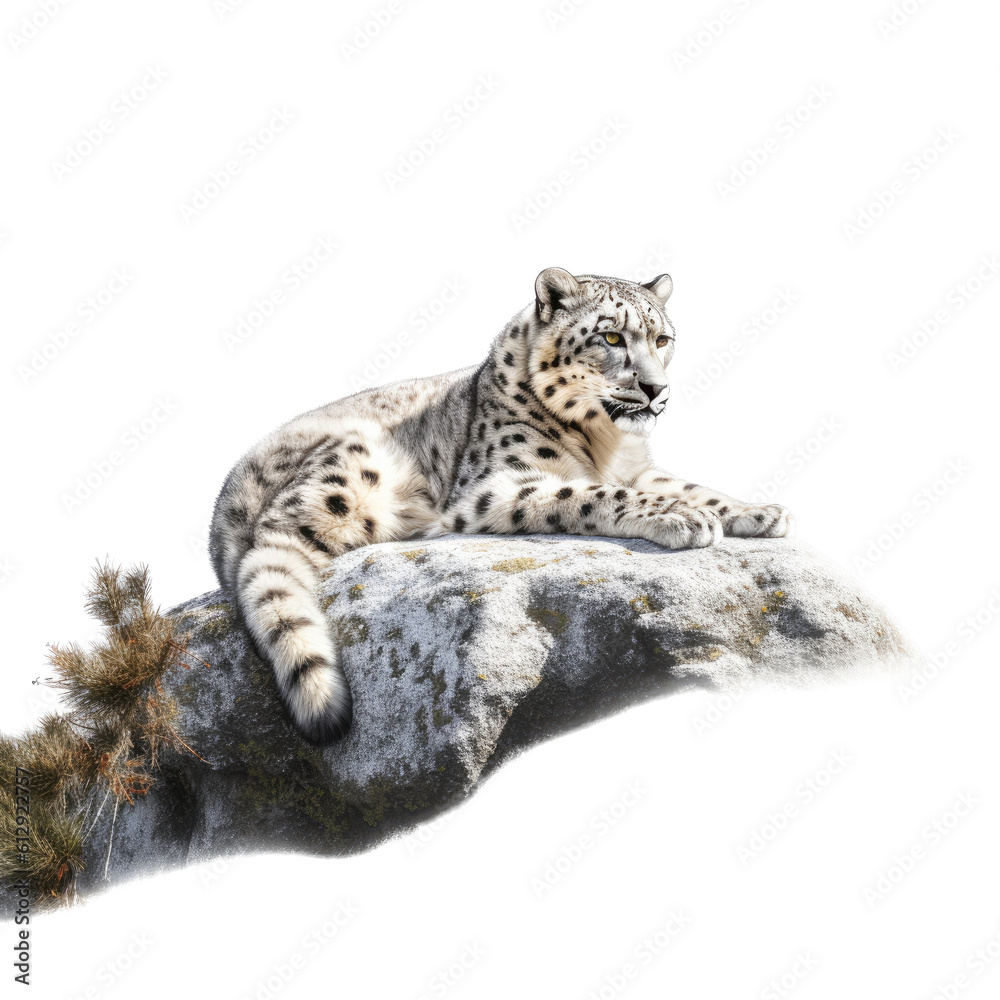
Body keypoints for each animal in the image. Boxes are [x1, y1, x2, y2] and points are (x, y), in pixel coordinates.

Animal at [209, 267, 793, 742]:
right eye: (611, 336)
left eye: (663, 338)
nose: (656, 390)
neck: (606, 443)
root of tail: (224, 516)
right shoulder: (501, 485)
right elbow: (594, 493)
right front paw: (681, 517)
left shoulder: (644, 468)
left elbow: (690, 484)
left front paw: (758, 512)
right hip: (350, 471)